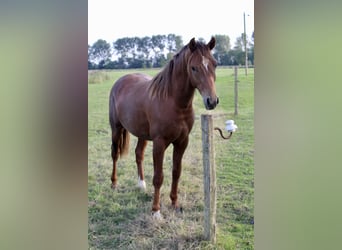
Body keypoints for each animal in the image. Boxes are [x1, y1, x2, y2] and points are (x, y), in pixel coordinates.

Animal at [108, 36, 218, 218]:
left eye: (214, 64)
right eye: (193, 67)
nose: (212, 101)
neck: (174, 102)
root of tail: (121, 81)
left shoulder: (182, 142)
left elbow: (176, 172)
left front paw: (174, 203)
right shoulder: (159, 143)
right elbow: (158, 177)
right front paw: (156, 211)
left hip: (142, 134)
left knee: (138, 154)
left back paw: (141, 184)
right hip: (116, 129)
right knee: (115, 154)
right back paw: (114, 184)